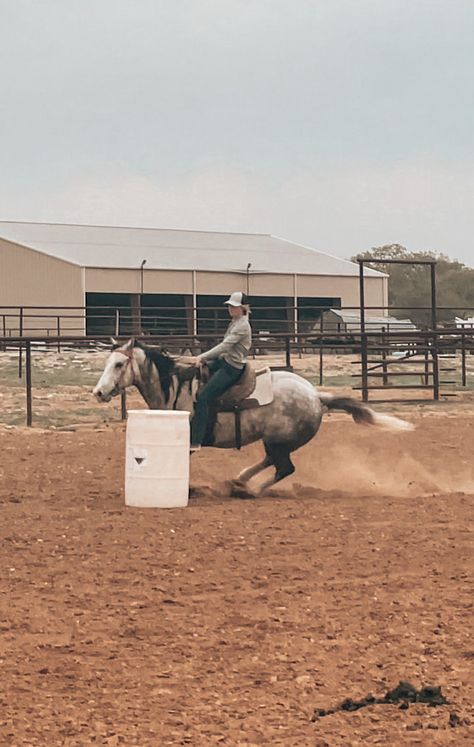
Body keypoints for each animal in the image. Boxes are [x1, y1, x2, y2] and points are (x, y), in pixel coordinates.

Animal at [93, 338, 414, 496]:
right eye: (107, 362)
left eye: (119, 364)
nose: (99, 392)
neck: (175, 385)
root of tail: (317, 396)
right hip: (278, 442)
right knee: (273, 463)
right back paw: (240, 480)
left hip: (280, 441)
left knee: (284, 469)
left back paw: (250, 490)